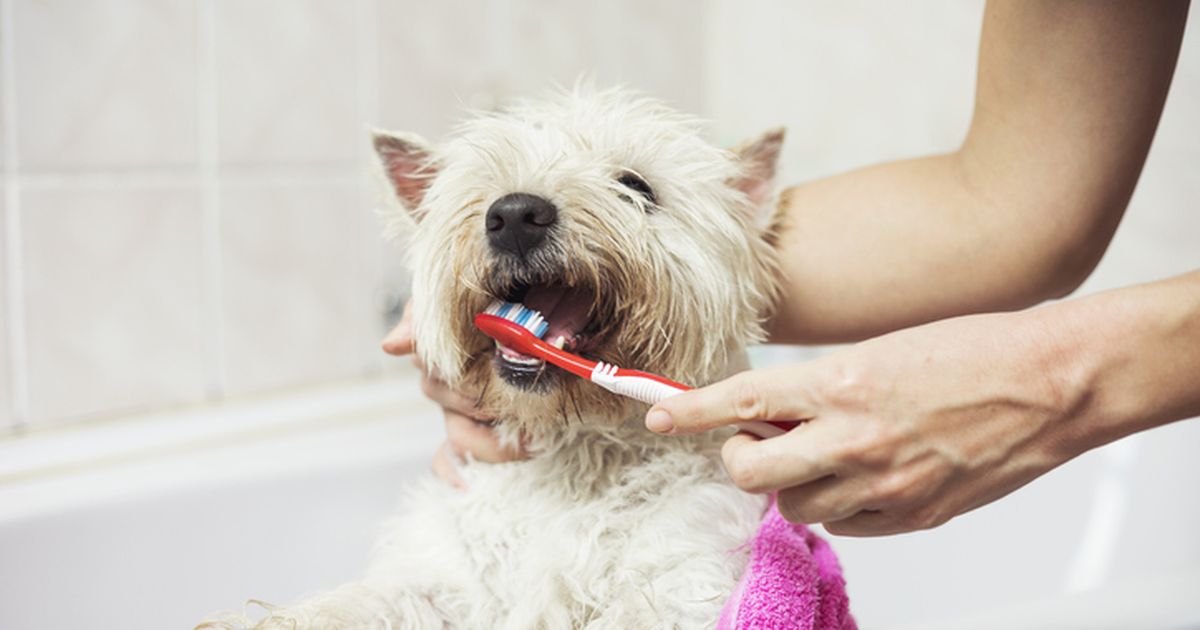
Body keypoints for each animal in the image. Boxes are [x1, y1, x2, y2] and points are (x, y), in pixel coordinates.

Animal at [201, 85, 787, 624]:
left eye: (636, 185)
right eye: (485, 182)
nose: (516, 214)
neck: (573, 457)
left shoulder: (681, 573)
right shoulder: (443, 576)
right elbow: (360, 604)